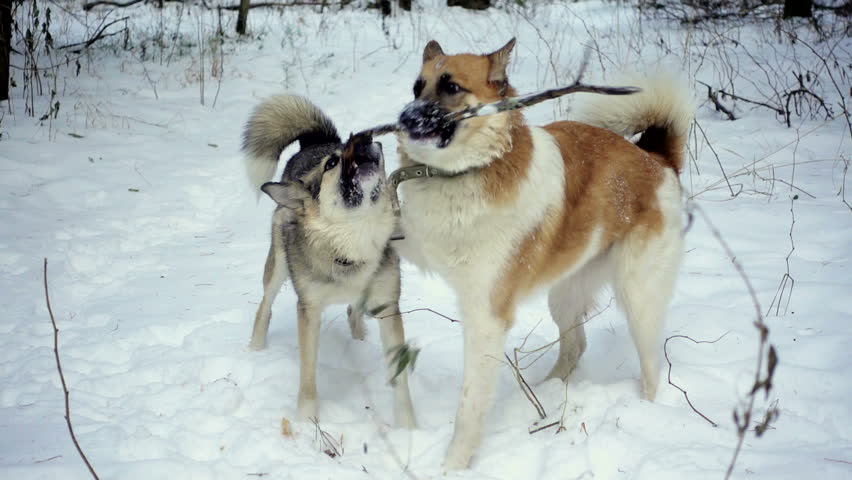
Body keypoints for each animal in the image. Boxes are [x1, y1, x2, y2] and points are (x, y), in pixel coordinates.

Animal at [243, 94, 416, 428]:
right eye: (332, 164)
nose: (364, 139)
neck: (353, 240)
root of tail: (317, 142)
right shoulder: (309, 310)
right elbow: (308, 373)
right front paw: (308, 421)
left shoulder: (388, 305)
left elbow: (400, 378)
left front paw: (408, 428)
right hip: (277, 267)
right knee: (264, 307)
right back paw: (255, 350)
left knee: (352, 311)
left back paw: (359, 338)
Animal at [392, 39, 692, 470]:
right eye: (418, 87)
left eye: (451, 87)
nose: (403, 118)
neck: (465, 174)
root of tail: (656, 159)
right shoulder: (417, 245)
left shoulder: (486, 316)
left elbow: (470, 405)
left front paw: (453, 465)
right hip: (564, 293)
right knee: (575, 345)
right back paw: (543, 394)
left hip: (639, 298)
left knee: (651, 366)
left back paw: (646, 409)